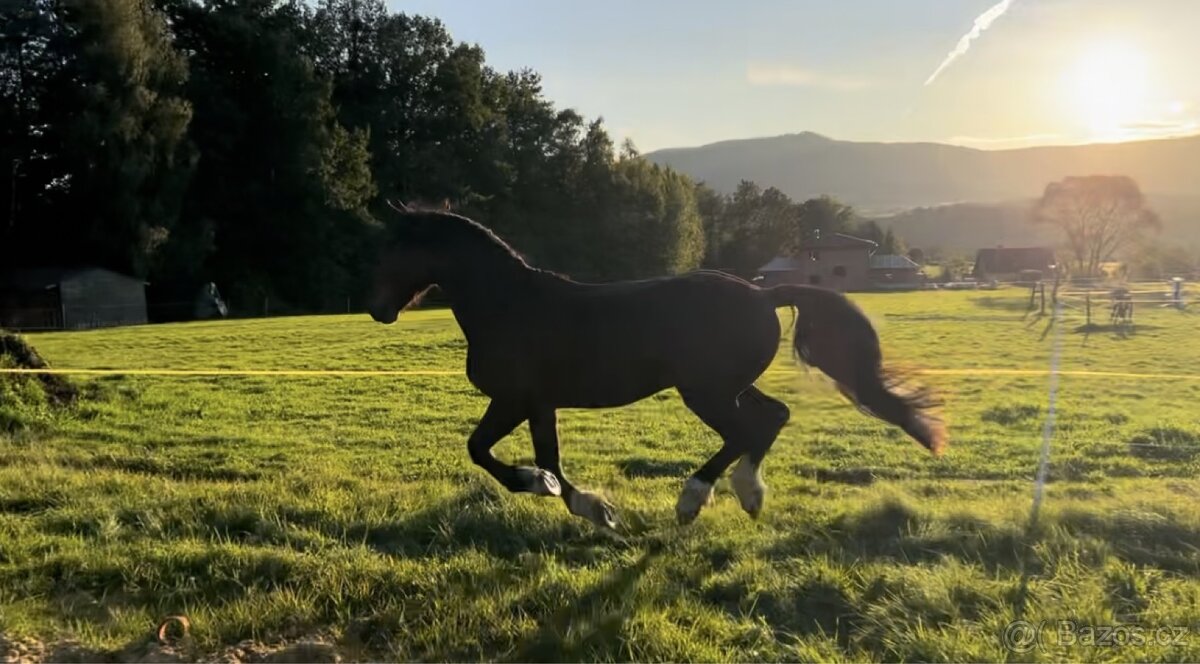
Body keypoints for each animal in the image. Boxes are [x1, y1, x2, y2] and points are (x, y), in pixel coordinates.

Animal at [367, 202, 945, 528]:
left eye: (393, 249)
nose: (377, 309)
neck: (508, 306)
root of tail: (764, 294)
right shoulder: (535, 402)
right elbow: (528, 455)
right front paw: (582, 504)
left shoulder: (516, 399)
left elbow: (492, 452)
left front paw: (572, 500)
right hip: (728, 387)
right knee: (772, 416)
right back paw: (749, 494)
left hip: (705, 392)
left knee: (743, 430)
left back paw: (693, 500)